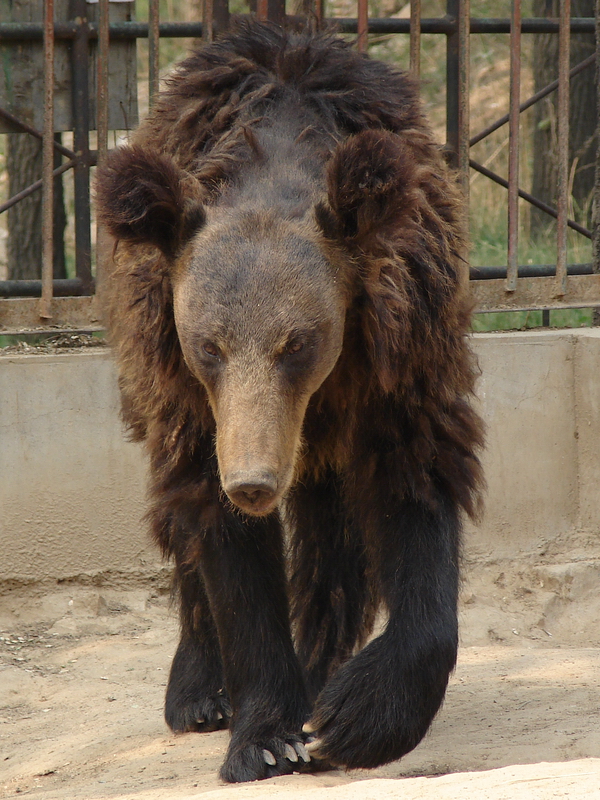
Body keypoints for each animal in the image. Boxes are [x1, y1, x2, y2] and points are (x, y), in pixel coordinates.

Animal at [96, 20, 484, 784]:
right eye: (209, 344)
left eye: (298, 341)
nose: (253, 482)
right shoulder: (198, 403)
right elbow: (226, 549)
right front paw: (268, 734)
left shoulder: (403, 353)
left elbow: (417, 488)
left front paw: (357, 716)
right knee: (179, 516)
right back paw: (200, 691)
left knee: (332, 544)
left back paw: (322, 670)